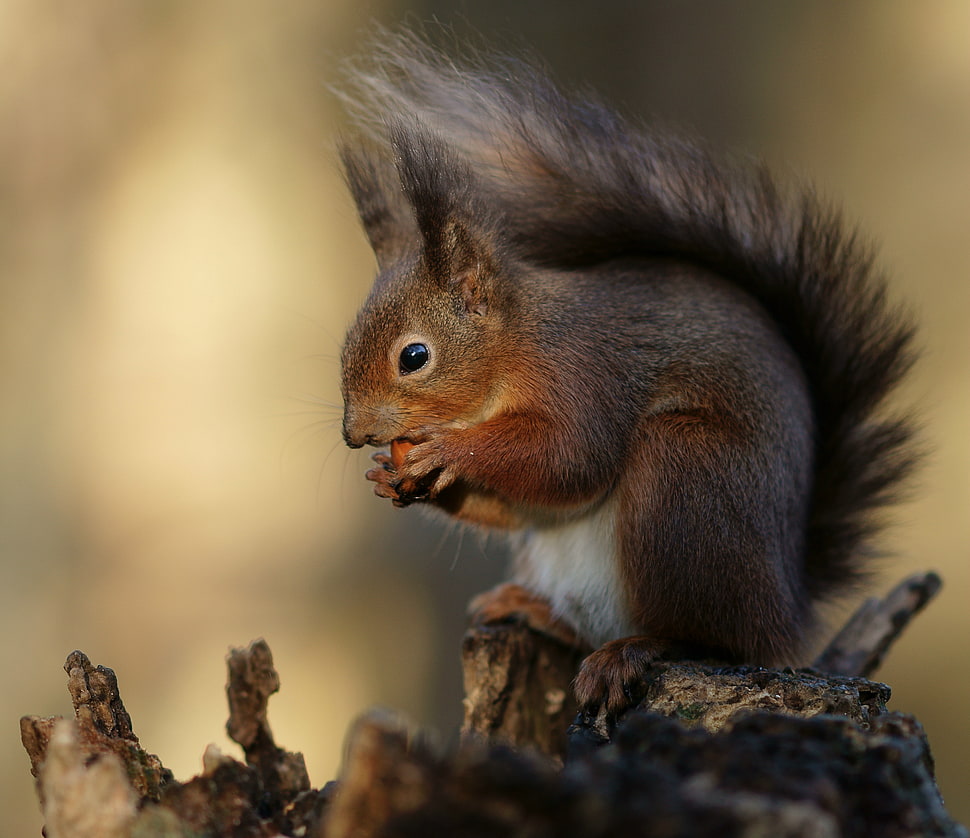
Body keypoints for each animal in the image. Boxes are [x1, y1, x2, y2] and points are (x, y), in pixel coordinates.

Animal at [334, 34, 916, 716]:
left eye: (414, 357)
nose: (353, 434)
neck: (513, 350)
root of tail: (786, 612)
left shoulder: (586, 371)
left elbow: (570, 457)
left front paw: (446, 451)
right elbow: (520, 505)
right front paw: (395, 477)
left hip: (683, 476)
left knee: (710, 638)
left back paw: (634, 650)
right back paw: (536, 611)